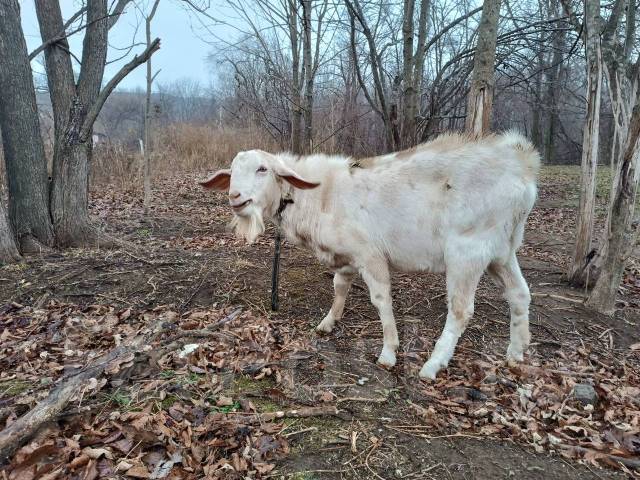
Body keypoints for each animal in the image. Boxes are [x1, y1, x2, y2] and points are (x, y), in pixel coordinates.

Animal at [200, 131, 540, 378]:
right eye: (232, 172)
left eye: (262, 169)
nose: (235, 197)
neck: (320, 195)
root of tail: (523, 168)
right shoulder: (346, 256)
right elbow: (339, 287)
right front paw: (327, 323)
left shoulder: (370, 255)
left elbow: (381, 300)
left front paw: (389, 352)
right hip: (501, 253)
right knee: (519, 294)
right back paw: (516, 352)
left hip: (466, 253)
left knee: (460, 310)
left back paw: (433, 364)